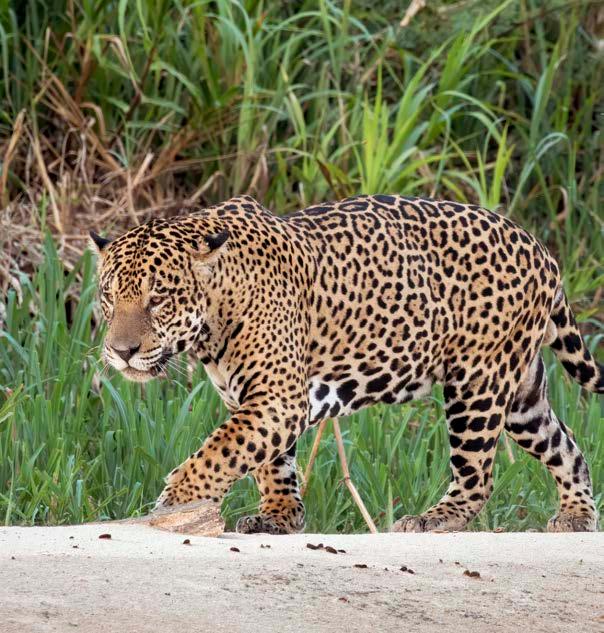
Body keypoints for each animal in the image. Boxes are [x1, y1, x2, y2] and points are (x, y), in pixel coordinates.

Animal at [91, 194, 603, 534]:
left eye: (159, 300)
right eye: (109, 296)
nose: (120, 351)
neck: (215, 313)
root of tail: (541, 249)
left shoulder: (277, 399)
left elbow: (220, 451)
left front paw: (172, 501)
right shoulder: (259, 401)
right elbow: (268, 460)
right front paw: (280, 516)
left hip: (477, 384)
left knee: (478, 476)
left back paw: (432, 519)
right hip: (520, 394)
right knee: (566, 447)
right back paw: (576, 516)